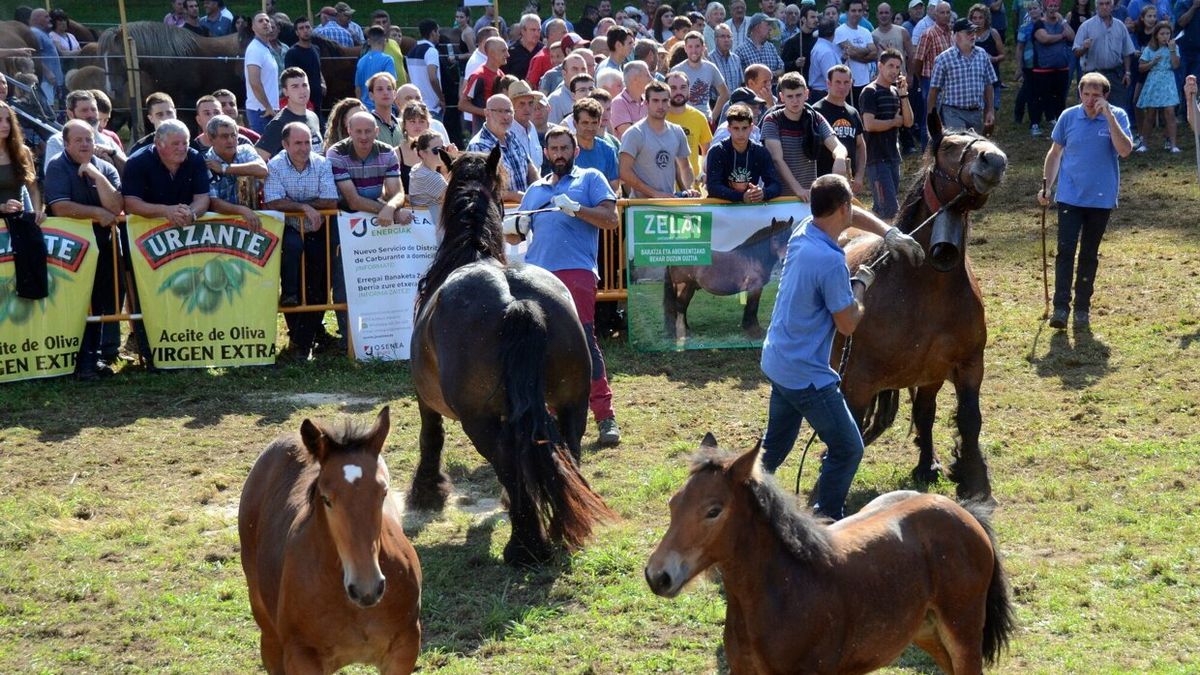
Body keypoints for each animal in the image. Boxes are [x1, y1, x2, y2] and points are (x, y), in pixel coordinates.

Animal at [238, 407, 422, 674]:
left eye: (383, 492)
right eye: (326, 499)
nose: (367, 588)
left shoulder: (404, 649)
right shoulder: (301, 657)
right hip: (269, 635)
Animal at [406, 147, 616, 566]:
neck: (469, 255)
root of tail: (514, 299)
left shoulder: (425, 397)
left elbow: (430, 436)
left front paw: (427, 492)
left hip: (480, 421)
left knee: (507, 462)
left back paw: (525, 545)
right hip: (572, 402)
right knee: (565, 452)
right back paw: (562, 529)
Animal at [645, 434, 1016, 674]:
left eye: (713, 511)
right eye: (673, 503)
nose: (657, 576)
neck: (785, 588)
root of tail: (965, 512)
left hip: (963, 632)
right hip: (927, 632)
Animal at [663, 216, 795, 340]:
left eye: (790, 236)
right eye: (775, 238)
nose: (784, 260)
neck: (753, 258)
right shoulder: (755, 288)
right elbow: (752, 308)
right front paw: (755, 332)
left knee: (683, 308)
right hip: (683, 287)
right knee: (680, 307)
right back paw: (683, 333)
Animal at [838, 113, 1007, 502]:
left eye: (983, 137)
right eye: (949, 146)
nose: (994, 160)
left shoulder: (965, 367)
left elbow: (967, 419)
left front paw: (970, 477)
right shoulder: (858, 380)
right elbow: (849, 423)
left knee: (925, 412)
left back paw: (927, 464)